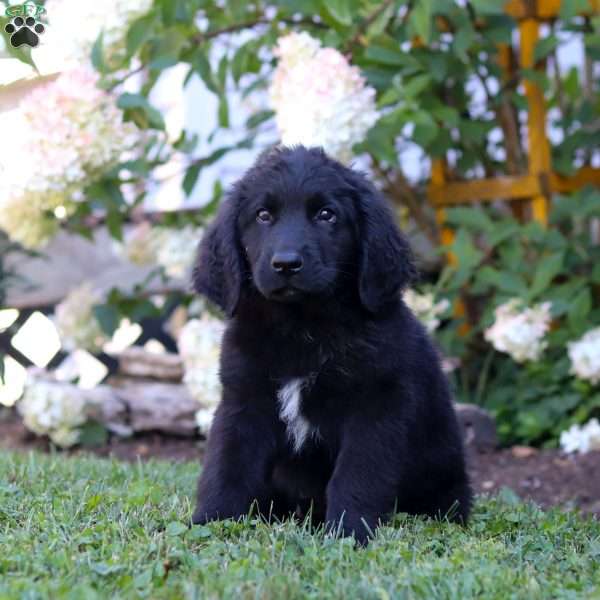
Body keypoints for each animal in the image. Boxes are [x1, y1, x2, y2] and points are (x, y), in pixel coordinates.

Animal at [192, 145, 474, 544]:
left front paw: (347, 533)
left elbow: (357, 475)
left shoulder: (375, 409)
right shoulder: (243, 400)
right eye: (263, 215)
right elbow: (226, 466)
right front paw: (210, 523)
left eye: (327, 215)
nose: (286, 263)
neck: (302, 329)